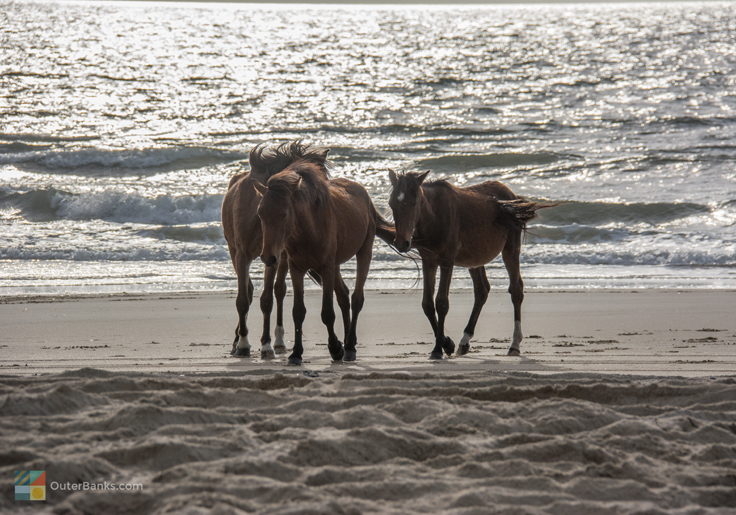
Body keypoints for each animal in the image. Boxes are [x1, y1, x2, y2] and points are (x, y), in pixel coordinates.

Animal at [221, 141, 328, 358]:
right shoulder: (243, 255)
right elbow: (243, 299)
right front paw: (243, 344)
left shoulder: (273, 256)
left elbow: (267, 300)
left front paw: (266, 344)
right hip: (235, 252)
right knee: (249, 291)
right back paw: (238, 341)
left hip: (282, 256)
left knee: (278, 291)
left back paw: (278, 341)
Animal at [258, 157, 396, 362]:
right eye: (260, 213)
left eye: (284, 214)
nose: (268, 257)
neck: (309, 228)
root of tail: (363, 194)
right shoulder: (297, 269)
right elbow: (298, 312)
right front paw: (296, 353)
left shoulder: (326, 267)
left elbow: (328, 313)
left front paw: (335, 348)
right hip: (334, 265)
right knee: (344, 296)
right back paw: (347, 341)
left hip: (364, 252)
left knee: (356, 298)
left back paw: (350, 346)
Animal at [386, 171, 552, 360]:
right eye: (391, 203)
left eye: (414, 202)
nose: (402, 243)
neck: (434, 216)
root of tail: (511, 196)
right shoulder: (428, 261)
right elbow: (427, 304)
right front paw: (446, 344)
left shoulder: (447, 261)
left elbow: (441, 303)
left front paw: (439, 349)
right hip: (475, 259)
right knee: (482, 291)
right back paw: (464, 342)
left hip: (510, 249)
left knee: (516, 290)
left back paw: (514, 345)